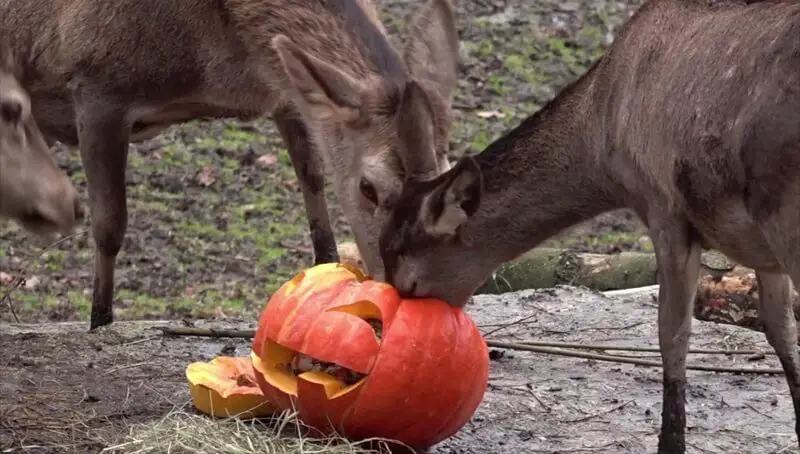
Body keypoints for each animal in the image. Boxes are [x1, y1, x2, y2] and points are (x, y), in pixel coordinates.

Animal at [378, 0, 800, 454]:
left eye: (411, 283)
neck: (602, 128)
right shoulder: (758, 249)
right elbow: (780, 327)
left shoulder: (663, 206)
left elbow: (672, 335)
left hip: (784, 212)